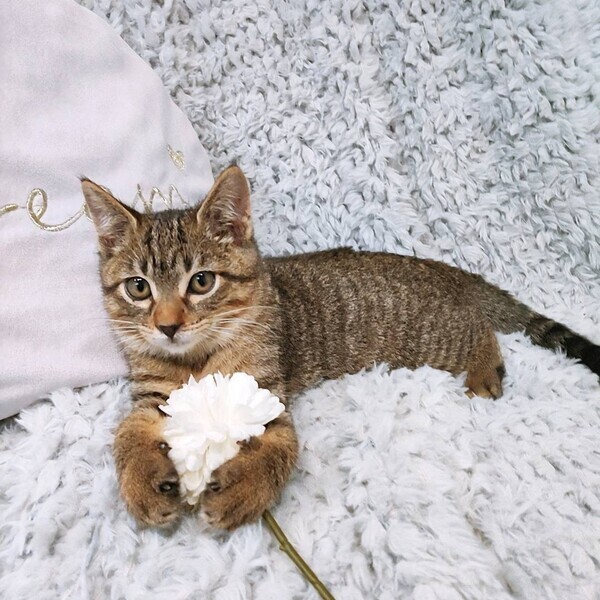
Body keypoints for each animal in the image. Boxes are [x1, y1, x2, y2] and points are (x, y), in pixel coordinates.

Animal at [82, 166, 600, 530]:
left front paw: (238, 493)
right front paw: (144, 486)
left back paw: (485, 372)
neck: (194, 361)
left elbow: (276, 452)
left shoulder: (265, 395)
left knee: (480, 327)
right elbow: (126, 434)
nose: (167, 326)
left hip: (434, 334)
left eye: (202, 281)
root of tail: (444, 270)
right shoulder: (151, 397)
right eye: (139, 288)